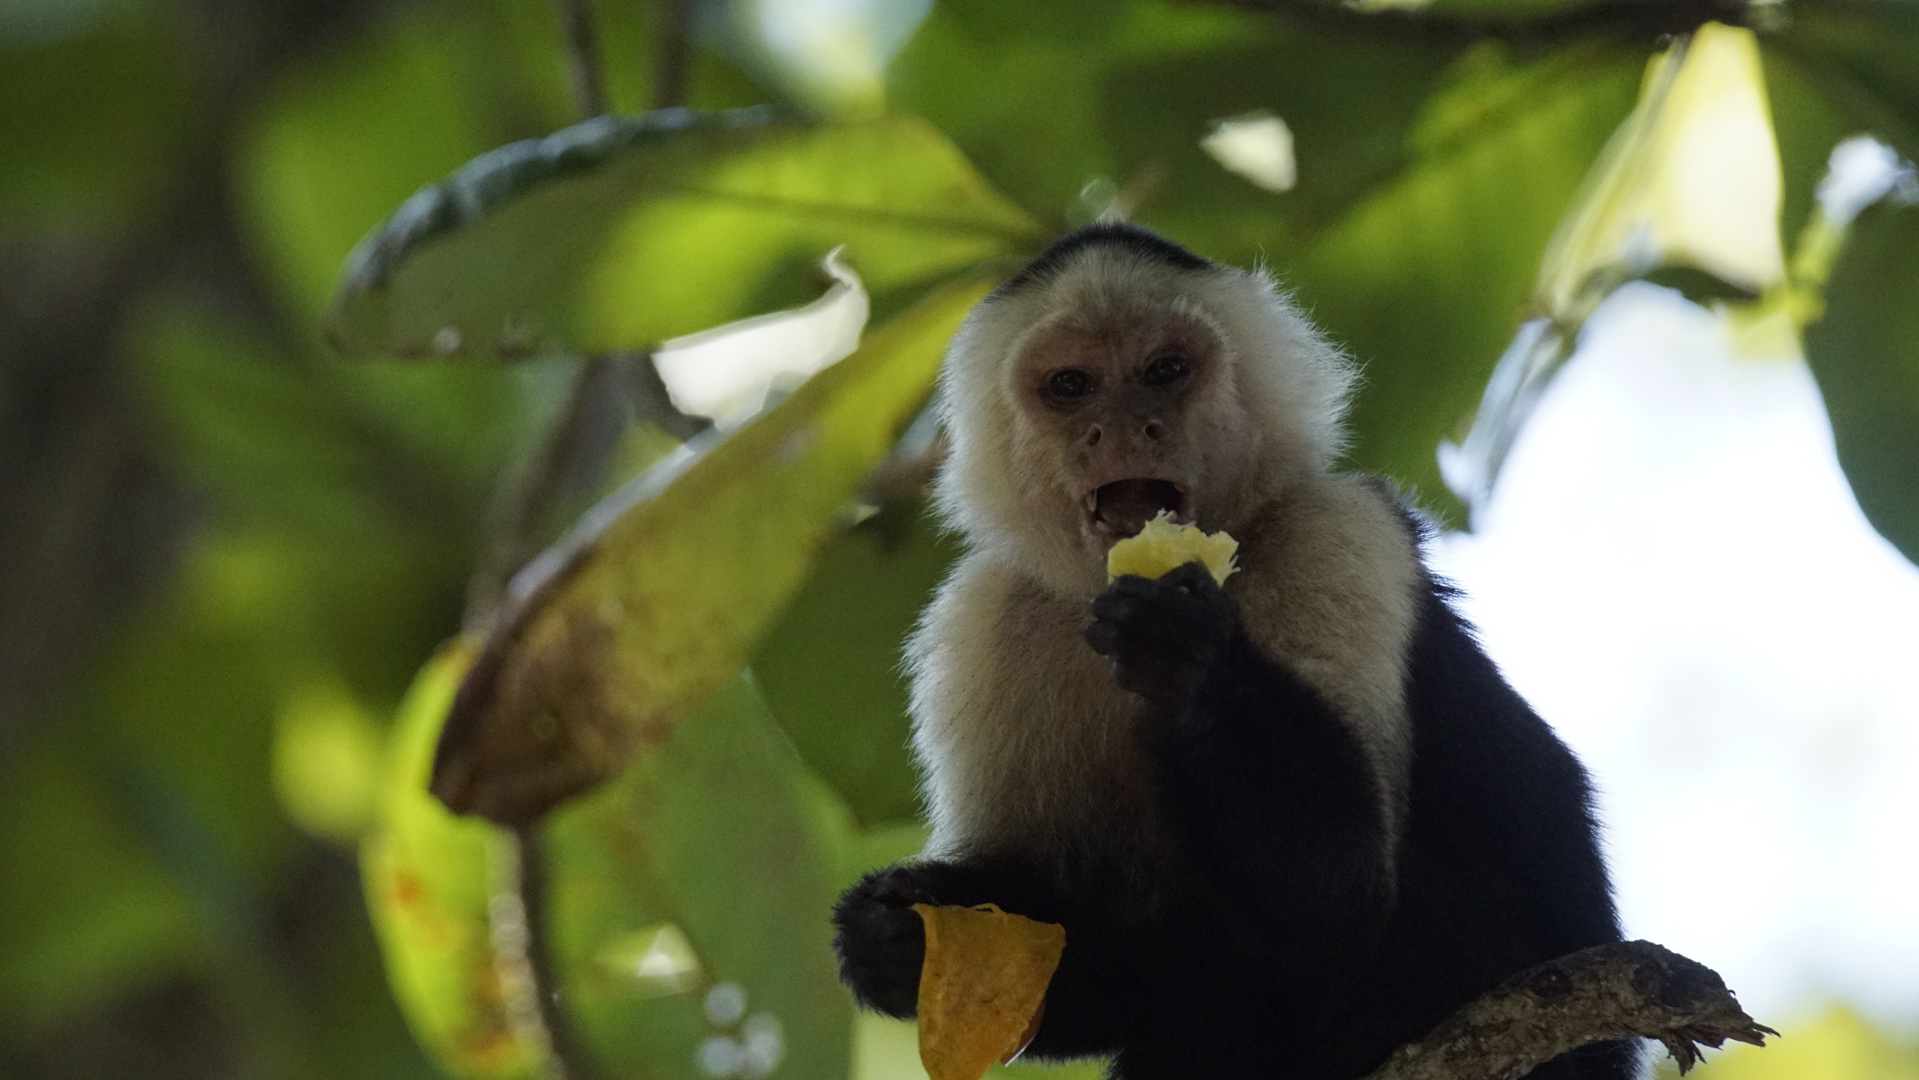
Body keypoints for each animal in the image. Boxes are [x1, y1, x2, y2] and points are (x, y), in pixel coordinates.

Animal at [832, 221, 1627, 1080]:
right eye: (1071, 385)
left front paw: (1188, 665)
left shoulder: (1331, 536)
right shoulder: (985, 618)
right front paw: (896, 940)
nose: (1124, 427)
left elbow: (1340, 894)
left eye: (1164, 371)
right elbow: (1042, 926)